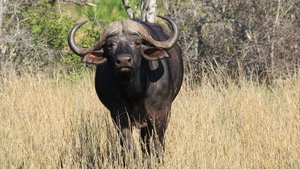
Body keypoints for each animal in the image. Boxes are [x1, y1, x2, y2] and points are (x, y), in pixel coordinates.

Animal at [68, 15, 184, 158]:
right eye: (110, 45)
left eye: (137, 43)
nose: (123, 61)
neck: (135, 92)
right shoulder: (118, 116)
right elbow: (128, 146)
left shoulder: (161, 113)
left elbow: (158, 144)